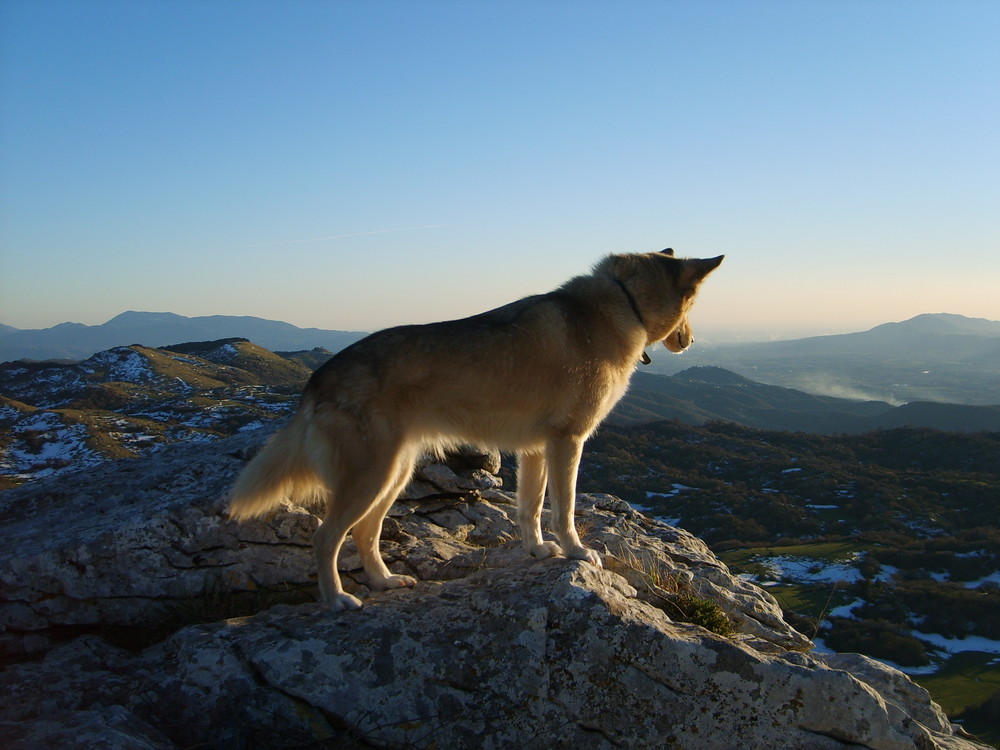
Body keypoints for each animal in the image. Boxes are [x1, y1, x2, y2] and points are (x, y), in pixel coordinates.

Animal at [230, 247, 724, 612]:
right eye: (694, 304)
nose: (692, 341)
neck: (622, 303)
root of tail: (317, 379)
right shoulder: (568, 442)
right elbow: (563, 510)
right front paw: (576, 552)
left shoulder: (536, 450)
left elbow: (530, 509)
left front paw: (537, 551)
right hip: (370, 478)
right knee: (326, 537)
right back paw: (336, 599)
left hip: (391, 477)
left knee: (364, 534)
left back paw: (385, 582)